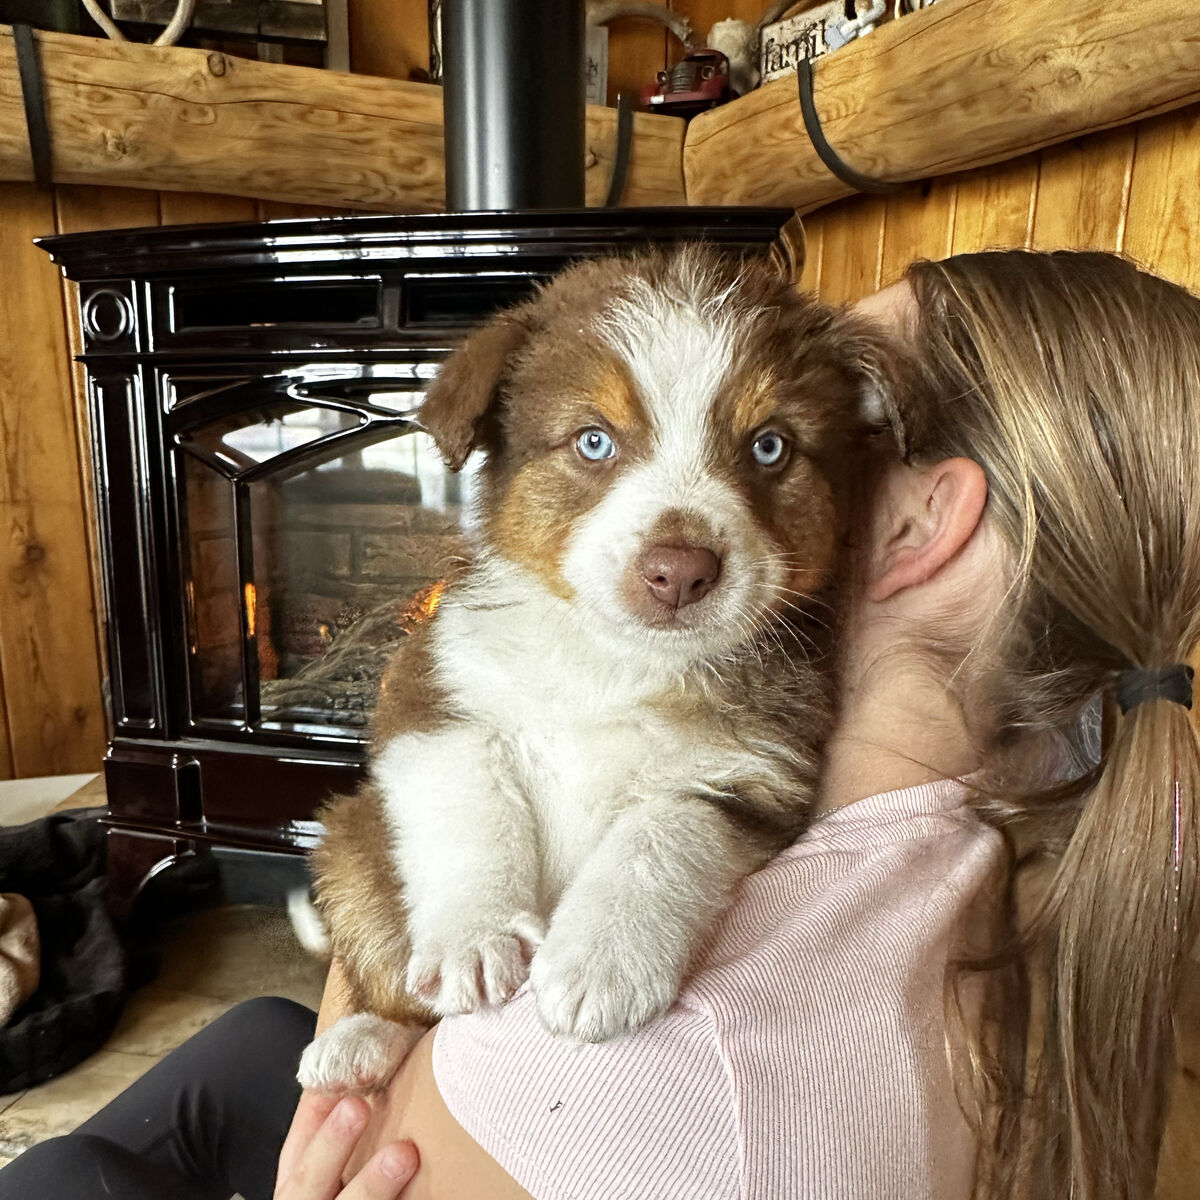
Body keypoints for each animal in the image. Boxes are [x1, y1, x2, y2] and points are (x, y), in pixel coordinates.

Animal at [296, 246, 888, 1095]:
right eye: (593, 442)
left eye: (770, 447)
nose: (680, 572)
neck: (614, 660)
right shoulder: (438, 690)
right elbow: (467, 807)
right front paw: (475, 938)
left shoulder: (756, 771)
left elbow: (659, 836)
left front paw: (601, 963)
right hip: (350, 846)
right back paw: (362, 1041)